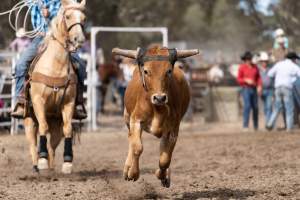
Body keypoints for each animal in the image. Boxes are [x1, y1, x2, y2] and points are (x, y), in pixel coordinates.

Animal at [24, 0, 86, 173]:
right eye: (68, 16)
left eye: (84, 18)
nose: (79, 39)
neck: (55, 66)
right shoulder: (38, 101)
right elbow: (43, 127)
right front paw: (42, 160)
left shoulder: (68, 103)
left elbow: (68, 129)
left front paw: (67, 163)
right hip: (29, 119)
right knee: (32, 142)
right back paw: (37, 165)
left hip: (56, 123)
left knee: (53, 144)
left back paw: (51, 167)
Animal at [112, 46, 199, 188]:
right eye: (146, 71)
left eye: (168, 71)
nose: (159, 98)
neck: (158, 109)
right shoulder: (136, 120)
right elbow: (137, 147)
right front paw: (133, 173)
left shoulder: (173, 129)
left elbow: (165, 159)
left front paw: (162, 175)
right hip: (127, 117)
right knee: (131, 139)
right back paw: (127, 168)